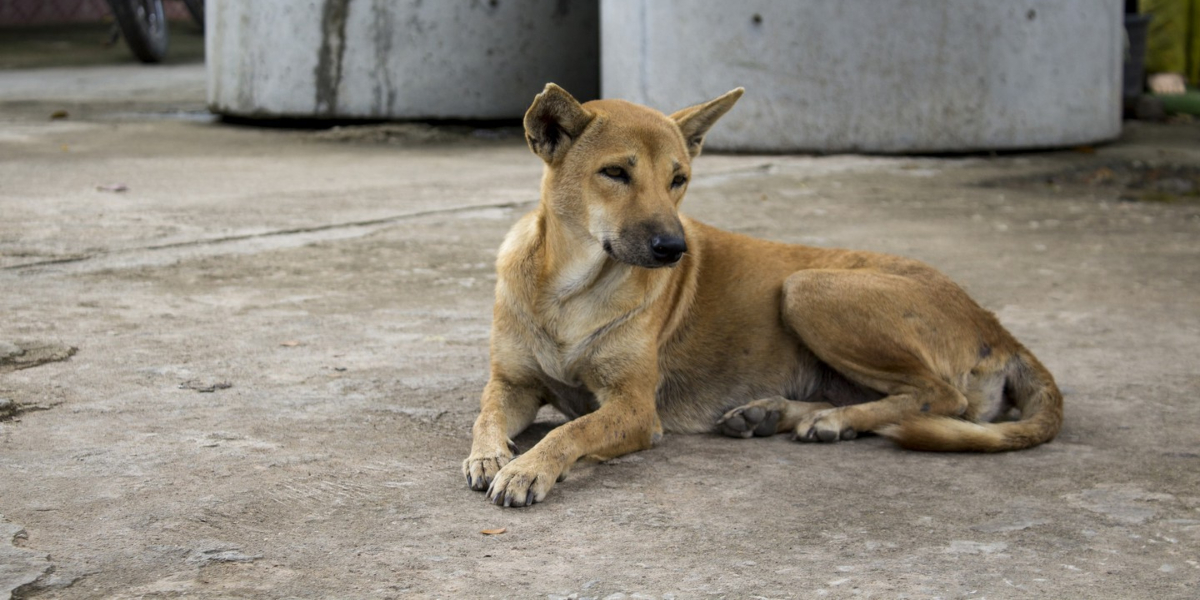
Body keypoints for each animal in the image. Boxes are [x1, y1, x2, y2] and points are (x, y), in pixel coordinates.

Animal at [463, 83, 1065, 506]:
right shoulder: (512, 384)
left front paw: (529, 467)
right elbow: (485, 413)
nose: (674, 248)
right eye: (614, 173)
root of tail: (998, 328)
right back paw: (776, 414)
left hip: (807, 287)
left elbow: (574, 429)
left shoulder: (634, 409)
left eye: (679, 179)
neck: (570, 290)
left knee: (941, 397)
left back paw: (834, 421)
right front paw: (490, 455)